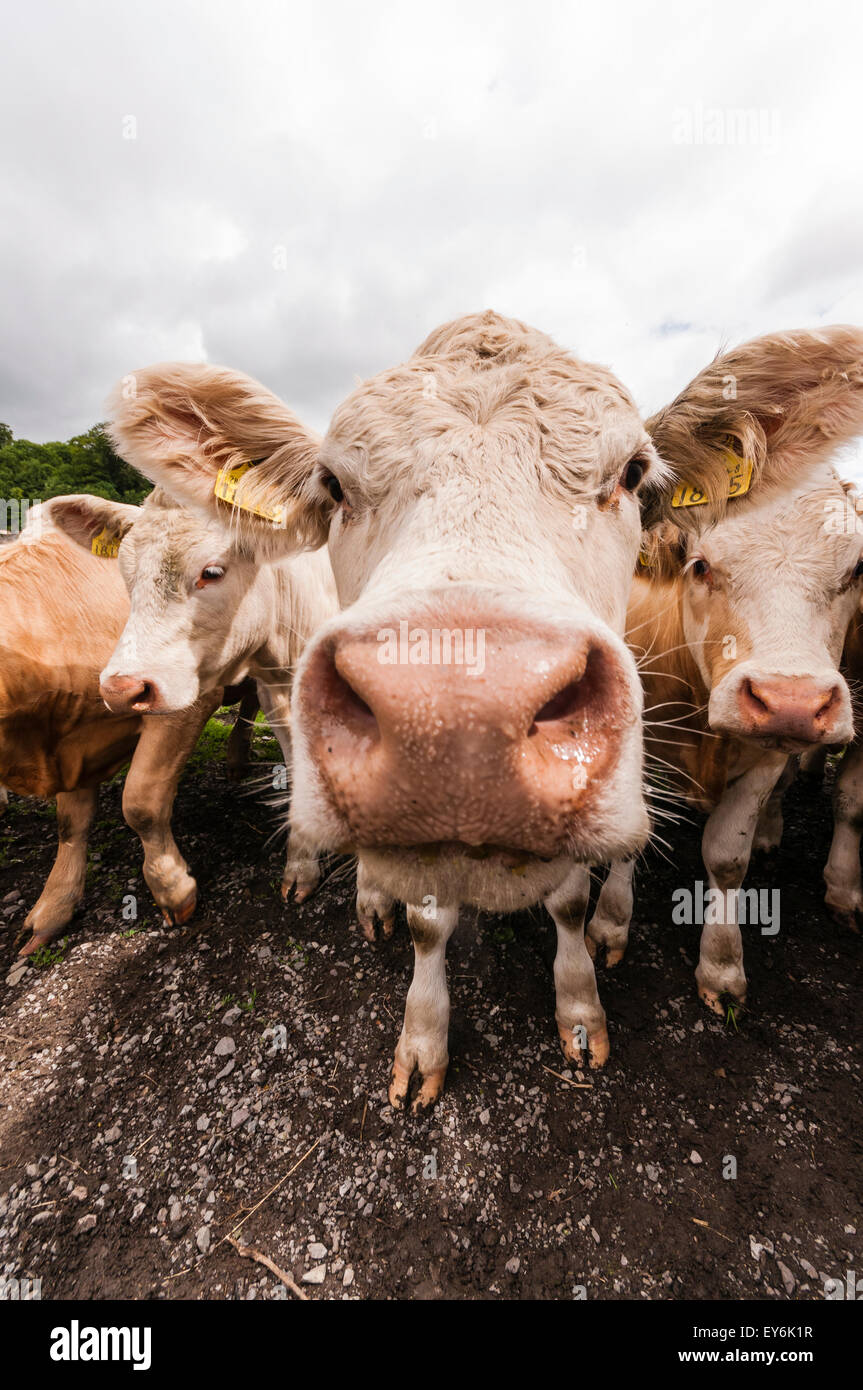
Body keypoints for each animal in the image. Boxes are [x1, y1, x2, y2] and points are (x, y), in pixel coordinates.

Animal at [97, 309, 669, 1112]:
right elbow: (425, 921)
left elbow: (567, 905)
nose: (461, 721)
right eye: (333, 485)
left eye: (632, 473)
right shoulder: (282, 693)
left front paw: (580, 1014)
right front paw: (420, 1037)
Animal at [578, 329, 861, 1011]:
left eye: (856, 571)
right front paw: (610, 925)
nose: (791, 700)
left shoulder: (764, 758)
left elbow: (728, 857)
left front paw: (722, 966)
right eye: (700, 564)